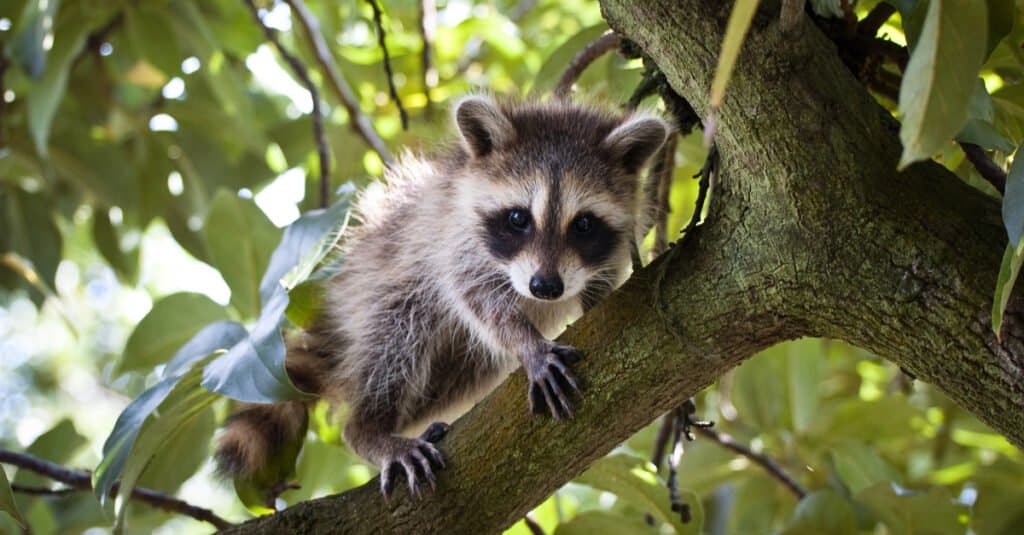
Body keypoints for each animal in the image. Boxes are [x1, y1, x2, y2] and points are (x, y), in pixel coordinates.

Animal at [214, 94, 671, 496]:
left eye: (584, 224)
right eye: (518, 218)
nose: (545, 287)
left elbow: (600, 285)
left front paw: (590, 301)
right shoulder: (452, 239)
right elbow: (475, 296)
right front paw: (528, 344)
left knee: (457, 378)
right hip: (378, 292)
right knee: (395, 342)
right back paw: (370, 428)